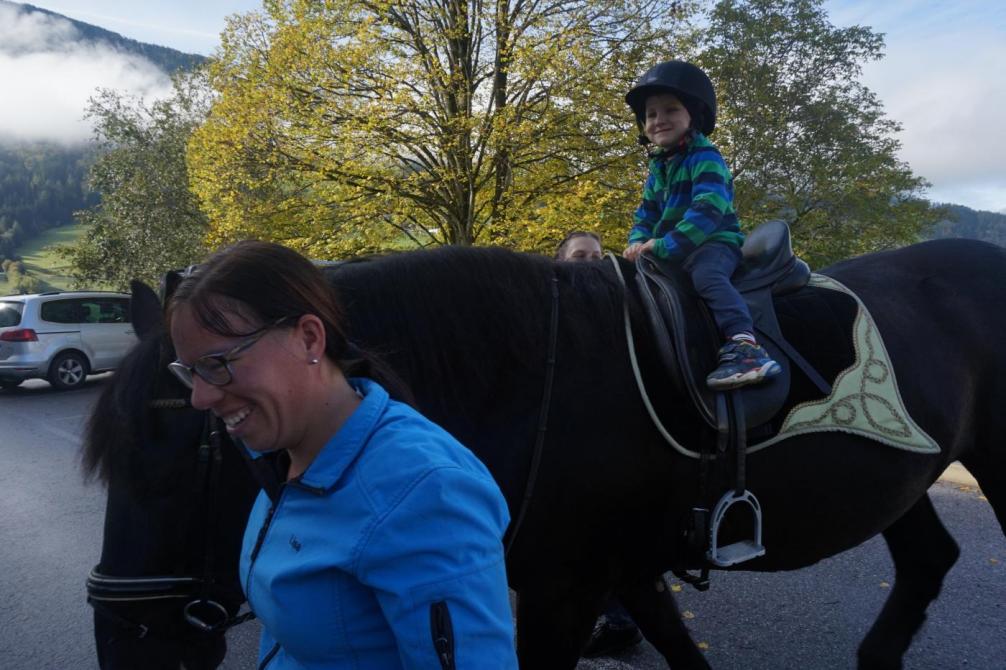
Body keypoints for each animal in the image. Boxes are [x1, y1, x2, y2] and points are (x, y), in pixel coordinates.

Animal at [82, 237, 1001, 663]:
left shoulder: (569, 587)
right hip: (903, 479)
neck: (529, 383)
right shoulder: (622, 567)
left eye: (176, 464)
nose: (123, 648)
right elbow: (675, 644)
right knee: (928, 560)